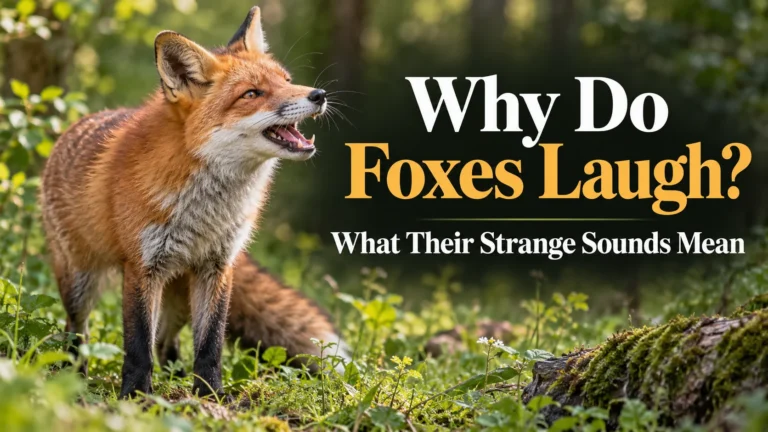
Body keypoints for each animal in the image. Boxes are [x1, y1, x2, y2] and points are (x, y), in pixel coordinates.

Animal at [40, 6, 327, 399]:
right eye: (252, 93)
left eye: (287, 80)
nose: (319, 94)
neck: (206, 212)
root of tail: (70, 129)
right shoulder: (142, 268)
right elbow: (137, 346)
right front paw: (136, 396)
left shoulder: (218, 266)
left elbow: (209, 344)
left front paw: (210, 395)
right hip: (80, 281)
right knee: (77, 330)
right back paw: (76, 377)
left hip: (178, 295)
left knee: (166, 342)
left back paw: (174, 378)